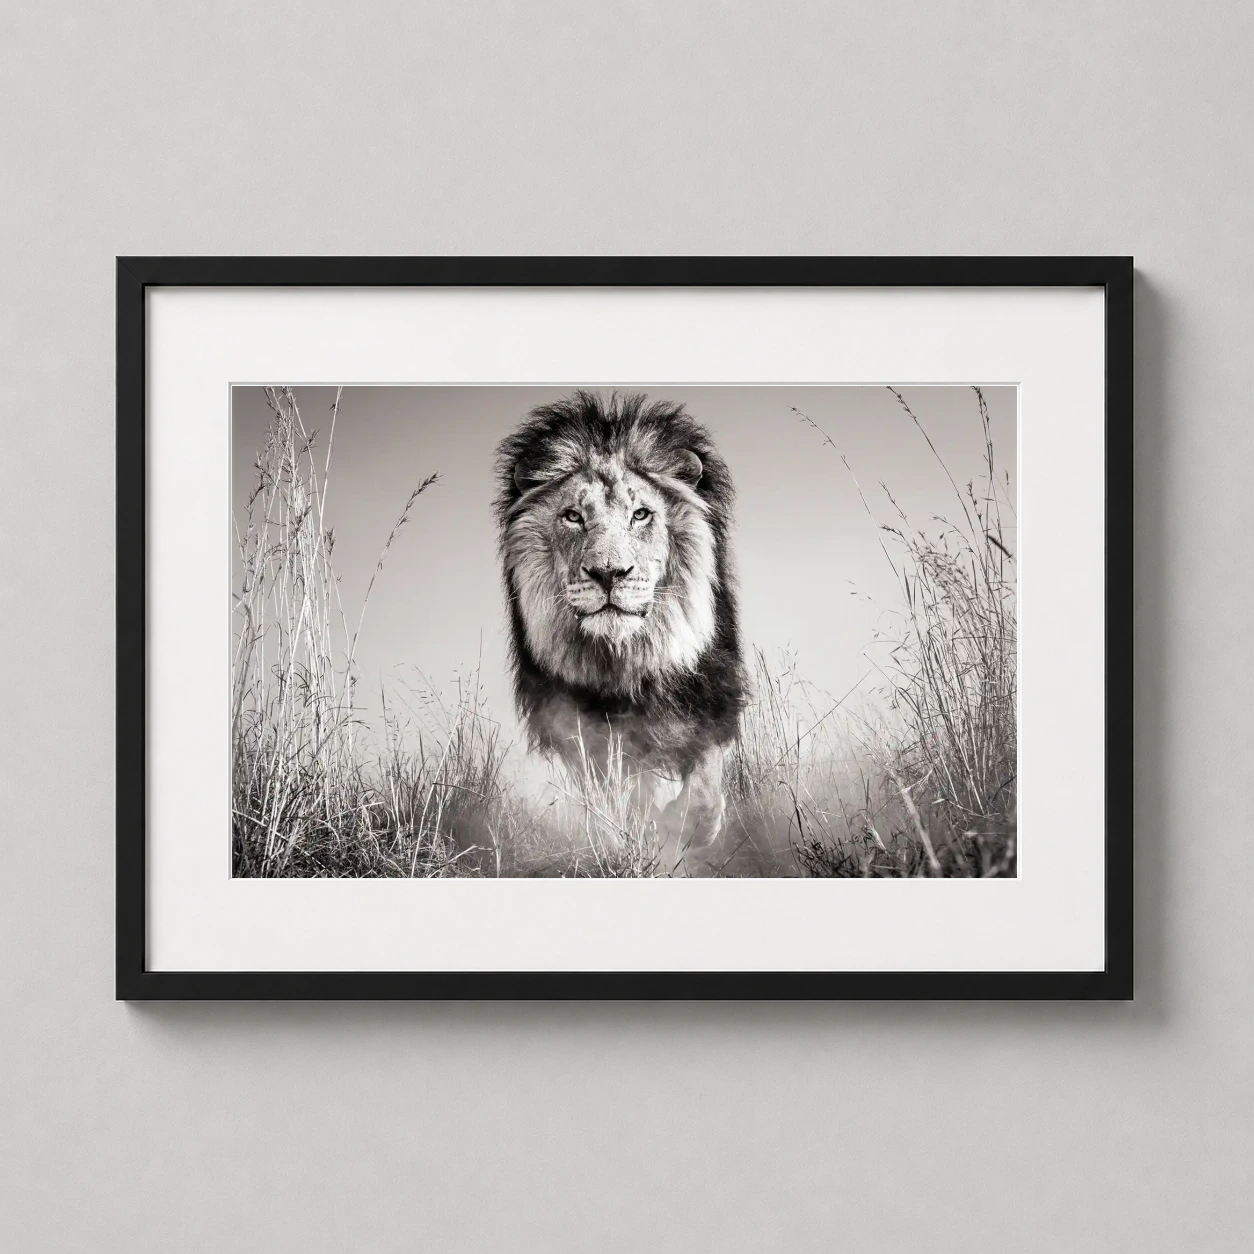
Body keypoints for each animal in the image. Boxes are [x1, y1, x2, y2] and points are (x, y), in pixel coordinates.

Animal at [495, 390, 747, 864]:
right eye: (573, 516)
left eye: (641, 515)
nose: (608, 573)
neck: (624, 656)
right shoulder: (578, 726)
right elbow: (621, 796)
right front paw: (641, 834)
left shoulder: (710, 695)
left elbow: (705, 787)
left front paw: (683, 826)